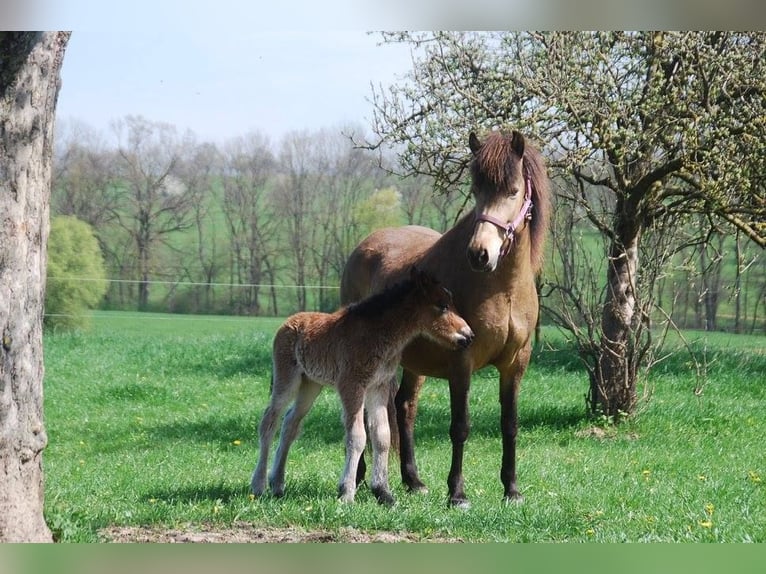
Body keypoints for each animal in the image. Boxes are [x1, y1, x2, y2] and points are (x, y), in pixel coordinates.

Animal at [251, 267, 474, 506]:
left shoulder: (378, 386)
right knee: (269, 421)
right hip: (287, 380)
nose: (469, 335)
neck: (377, 334)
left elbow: (382, 435)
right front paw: (346, 492)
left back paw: (277, 484)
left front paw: (384, 492)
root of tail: (288, 322)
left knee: (290, 423)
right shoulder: (352, 385)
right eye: (442, 305)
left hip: (310, 385)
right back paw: (259, 485)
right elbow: (357, 436)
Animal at [340, 130, 551, 507]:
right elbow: (460, 426)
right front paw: (457, 493)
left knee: (404, 407)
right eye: (476, 190)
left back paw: (413, 480)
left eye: (513, 191)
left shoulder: (516, 363)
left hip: (413, 363)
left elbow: (510, 424)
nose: (480, 254)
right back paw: (362, 476)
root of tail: (365, 246)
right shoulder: (461, 360)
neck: (503, 288)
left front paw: (511, 489)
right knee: (363, 409)